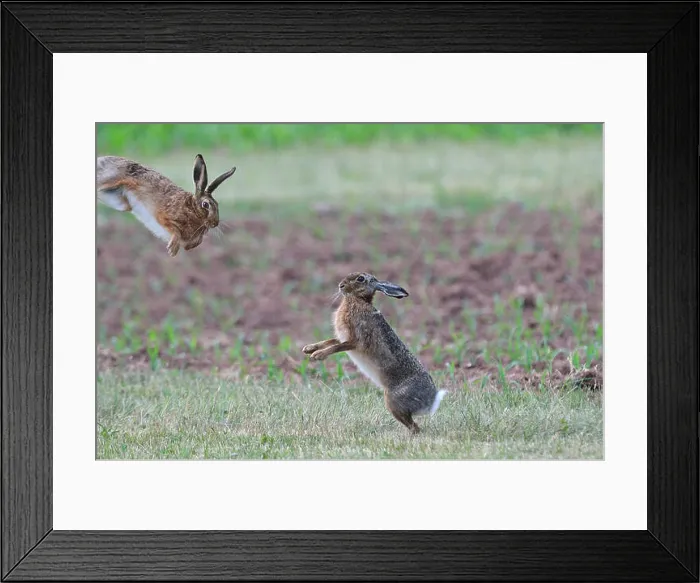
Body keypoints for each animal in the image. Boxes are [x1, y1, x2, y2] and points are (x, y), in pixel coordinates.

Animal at [96, 154, 236, 257]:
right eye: (205, 204)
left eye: (217, 204)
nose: (215, 223)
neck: (191, 209)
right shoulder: (164, 216)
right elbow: (175, 231)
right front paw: (172, 249)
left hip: (121, 202)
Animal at [302, 272, 447, 434]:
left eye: (360, 279)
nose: (341, 286)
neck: (358, 300)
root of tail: (429, 402)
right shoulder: (343, 337)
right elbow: (330, 341)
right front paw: (309, 349)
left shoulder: (356, 340)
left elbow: (336, 347)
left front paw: (318, 356)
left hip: (392, 401)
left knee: (414, 426)